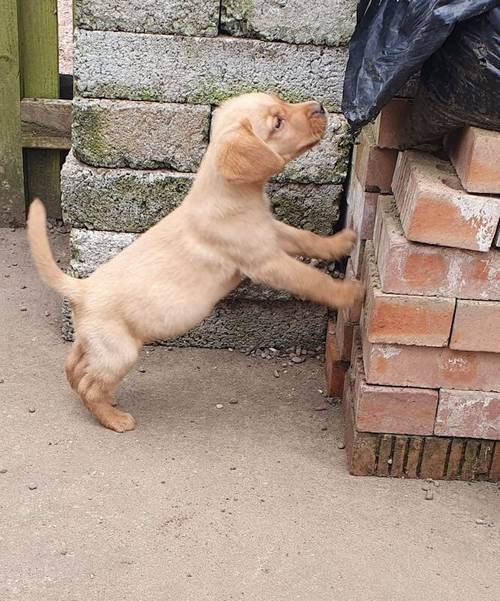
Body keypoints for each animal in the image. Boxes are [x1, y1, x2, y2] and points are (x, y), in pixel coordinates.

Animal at [27, 91, 362, 432]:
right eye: (277, 123)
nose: (320, 107)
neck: (228, 193)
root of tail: (81, 288)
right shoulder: (265, 261)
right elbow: (312, 279)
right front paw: (349, 293)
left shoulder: (272, 233)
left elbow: (306, 237)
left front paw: (340, 242)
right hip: (120, 352)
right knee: (89, 385)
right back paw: (114, 418)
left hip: (95, 344)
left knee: (74, 368)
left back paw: (107, 400)